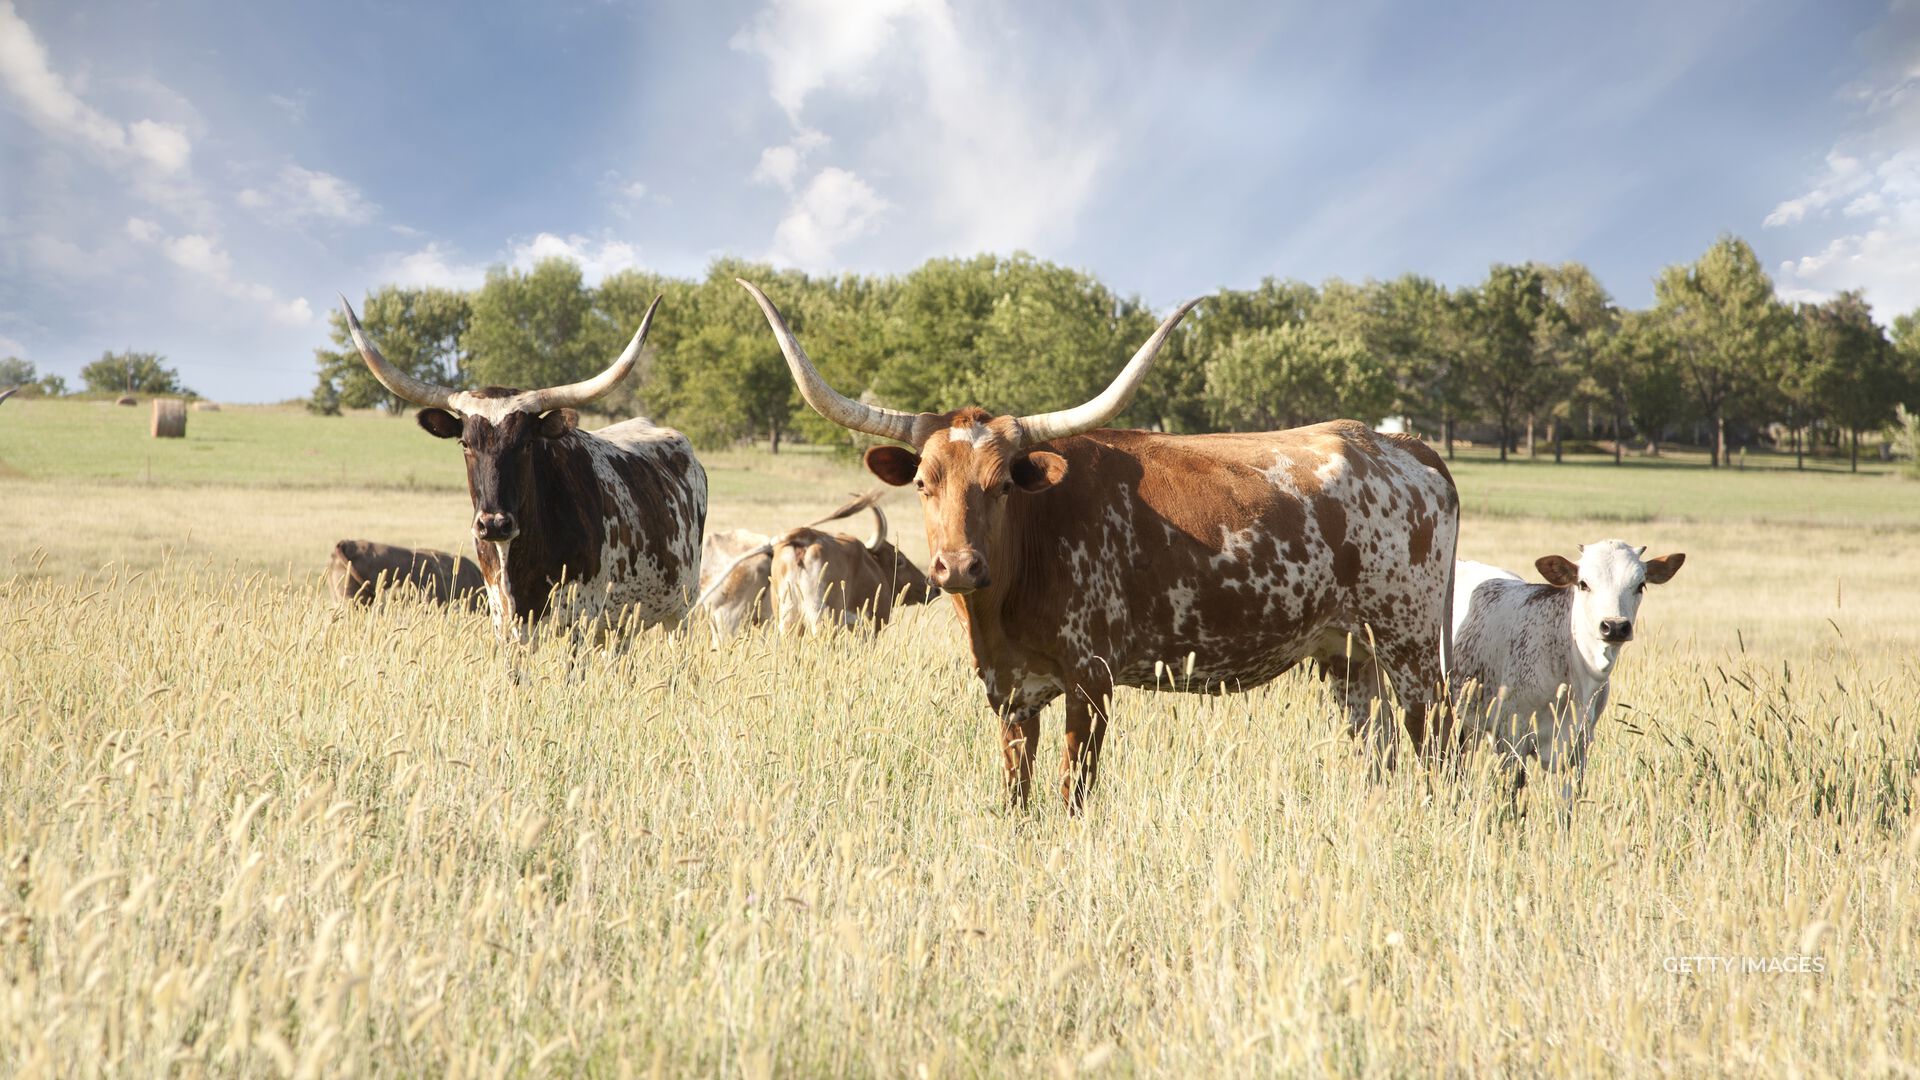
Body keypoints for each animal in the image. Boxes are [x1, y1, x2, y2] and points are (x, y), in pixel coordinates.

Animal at [741, 276, 1459, 807]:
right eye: (922, 481)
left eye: (1004, 483)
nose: (958, 566)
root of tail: (1400, 445)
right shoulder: (1010, 691)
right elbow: (1017, 795)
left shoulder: (1091, 681)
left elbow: (1072, 793)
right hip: (1347, 655)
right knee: (1379, 749)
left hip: (1412, 644)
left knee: (1436, 741)